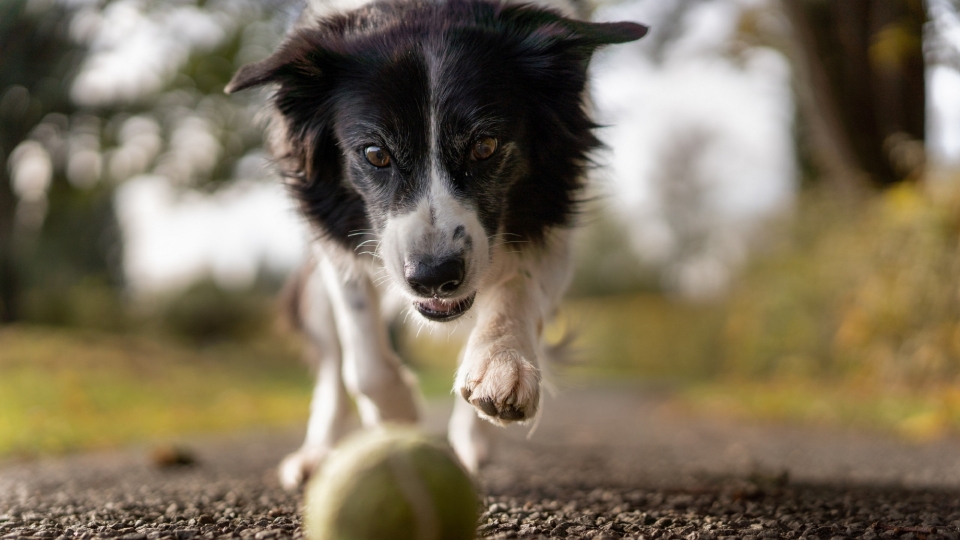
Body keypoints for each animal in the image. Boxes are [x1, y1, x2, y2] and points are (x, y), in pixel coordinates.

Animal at [225, 0, 644, 490]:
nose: (434, 278)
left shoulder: (553, 219)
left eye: (485, 145)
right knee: (332, 363)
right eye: (375, 154)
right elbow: (362, 358)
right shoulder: (336, 239)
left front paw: (501, 365)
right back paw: (317, 455)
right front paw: (399, 418)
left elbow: (517, 286)